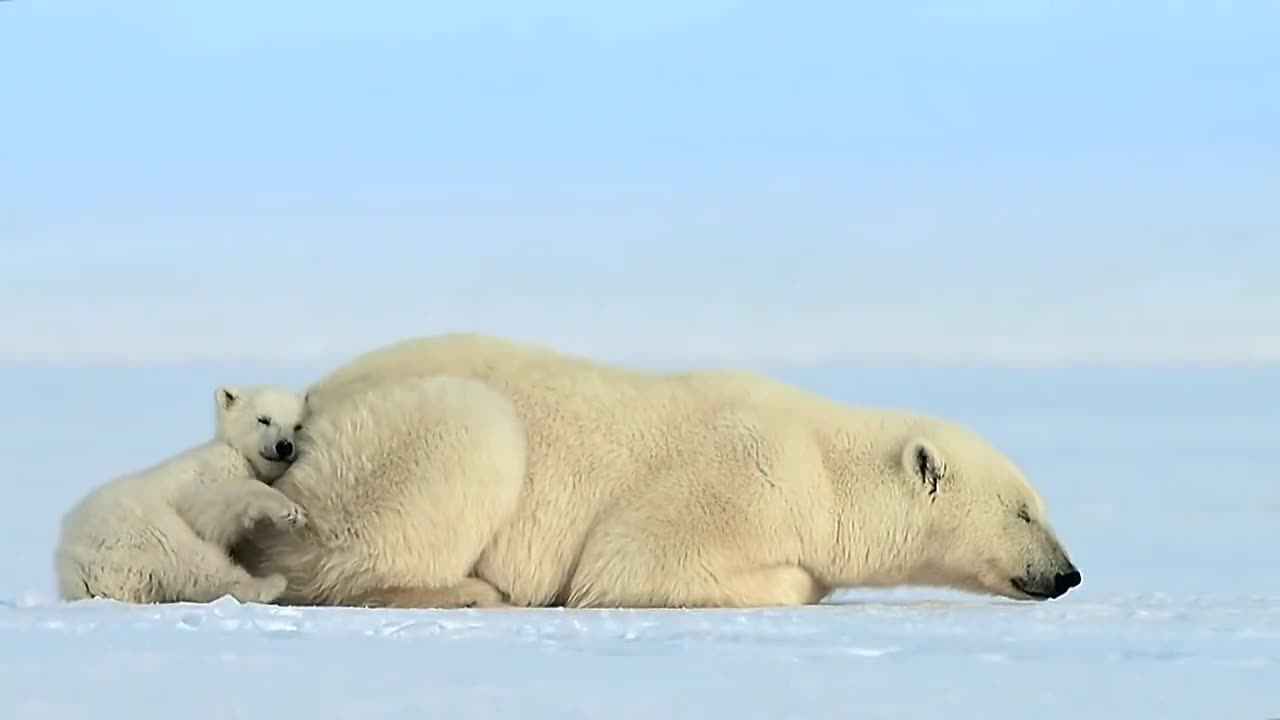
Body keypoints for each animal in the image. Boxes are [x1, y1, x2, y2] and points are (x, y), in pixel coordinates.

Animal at [56, 384, 312, 602]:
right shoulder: (204, 475)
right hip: (134, 530)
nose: (284, 446)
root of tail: (78, 577)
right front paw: (290, 512)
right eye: (264, 419)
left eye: (297, 426)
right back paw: (271, 583)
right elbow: (211, 508)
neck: (241, 455)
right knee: (187, 557)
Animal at [238, 330, 1080, 604]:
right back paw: (471, 591)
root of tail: (313, 397)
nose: (1067, 573)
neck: (822, 465)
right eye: (1026, 510)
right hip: (397, 443)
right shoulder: (743, 476)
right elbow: (635, 562)